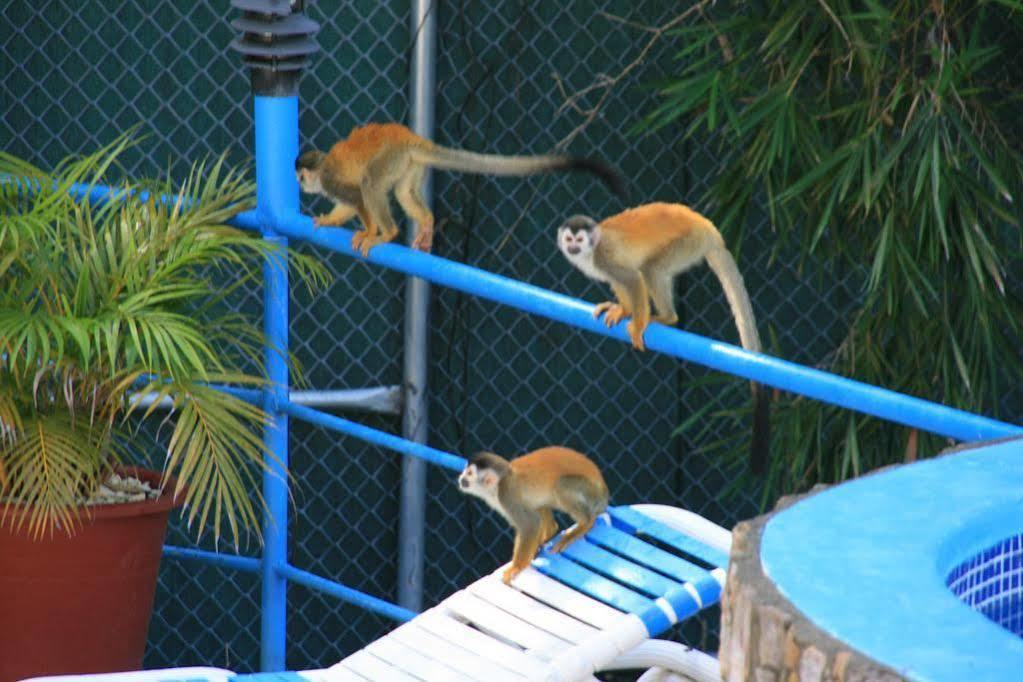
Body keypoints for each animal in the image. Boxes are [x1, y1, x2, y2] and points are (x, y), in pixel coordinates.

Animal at [296, 122, 621, 255]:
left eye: (300, 177)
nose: (300, 186)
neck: (322, 167)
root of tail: (410, 138)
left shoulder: (330, 179)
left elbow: (355, 196)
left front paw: (369, 232)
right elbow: (348, 204)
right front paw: (328, 219)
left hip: (391, 156)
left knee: (371, 184)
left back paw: (387, 233)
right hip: (408, 163)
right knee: (402, 192)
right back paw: (427, 222)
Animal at [456, 445, 605, 584]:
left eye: (469, 473)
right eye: (465, 471)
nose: (461, 478)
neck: (499, 483)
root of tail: (604, 492)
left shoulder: (507, 495)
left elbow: (530, 524)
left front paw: (517, 567)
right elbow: (533, 517)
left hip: (589, 491)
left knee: (561, 485)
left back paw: (585, 524)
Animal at [560, 200, 769, 472]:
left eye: (579, 239)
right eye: (569, 239)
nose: (572, 247)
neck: (590, 252)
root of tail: (709, 229)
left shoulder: (604, 257)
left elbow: (632, 279)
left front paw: (637, 323)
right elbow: (621, 283)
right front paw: (622, 310)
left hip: (689, 242)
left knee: (651, 269)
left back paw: (667, 317)